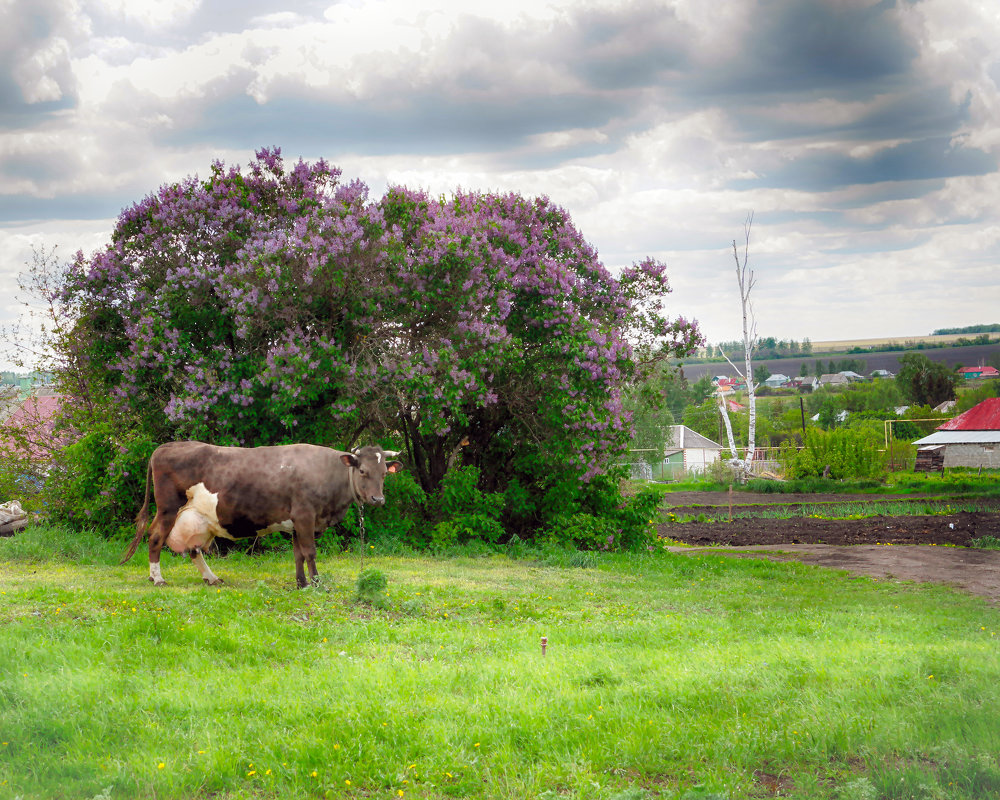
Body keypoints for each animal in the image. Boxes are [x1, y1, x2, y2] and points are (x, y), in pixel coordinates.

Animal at [124, 444, 402, 588]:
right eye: (363, 471)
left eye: (384, 474)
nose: (378, 499)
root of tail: (166, 446)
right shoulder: (305, 516)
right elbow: (310, 552)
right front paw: (316, 583)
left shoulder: (295, 523)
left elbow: (298, 554)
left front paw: (301, 583)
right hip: (168, 509)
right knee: (155, 538)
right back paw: (157, 578)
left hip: (198, 519)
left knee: (194, 550)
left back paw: (211, 578)